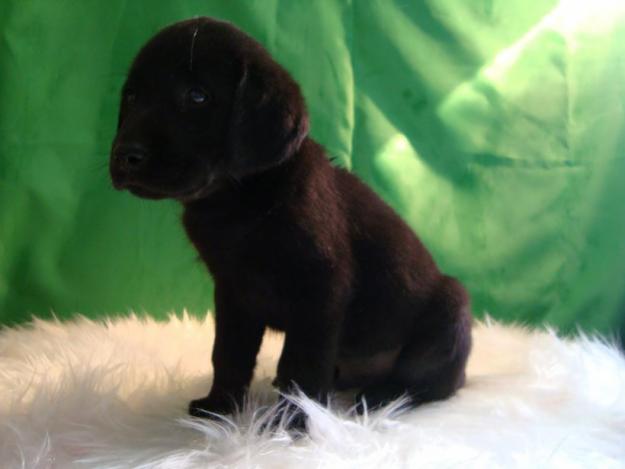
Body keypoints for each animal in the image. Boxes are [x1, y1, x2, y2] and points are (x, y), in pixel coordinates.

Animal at [111, 17, 472, 424]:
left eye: (197, 96)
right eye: (131, 97)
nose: (125, 156)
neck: (237, 202)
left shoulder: (320, 294)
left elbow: (300, 367)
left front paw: (291, 424)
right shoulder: (233, 294)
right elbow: (228, 354)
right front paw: (221, 408)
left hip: (450, 311)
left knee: (430, 381)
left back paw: (382, 395)